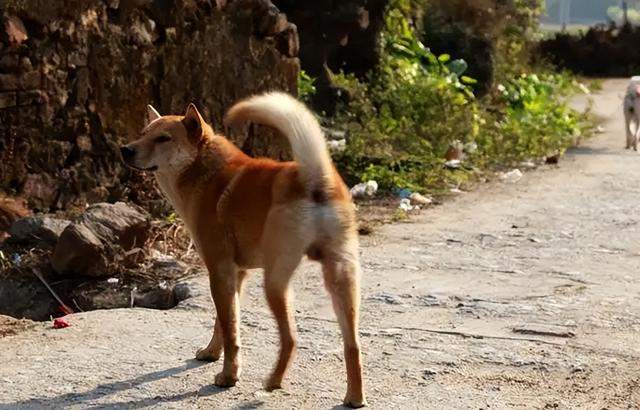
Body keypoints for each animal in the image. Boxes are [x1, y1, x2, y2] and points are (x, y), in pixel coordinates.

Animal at [119, 90, 364, 406]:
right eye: (143, 134)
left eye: (163, 138)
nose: (125, 150)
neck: (205, 171)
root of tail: (316, 179)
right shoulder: (237, 274)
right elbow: (221, 325)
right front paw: (211, 353)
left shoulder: (219, 271)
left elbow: (230, 329)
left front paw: (229, 375)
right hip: (342, 280)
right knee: (353, 345)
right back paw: (355, 397)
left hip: (275, 283)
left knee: (291, 339)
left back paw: (273, 382)